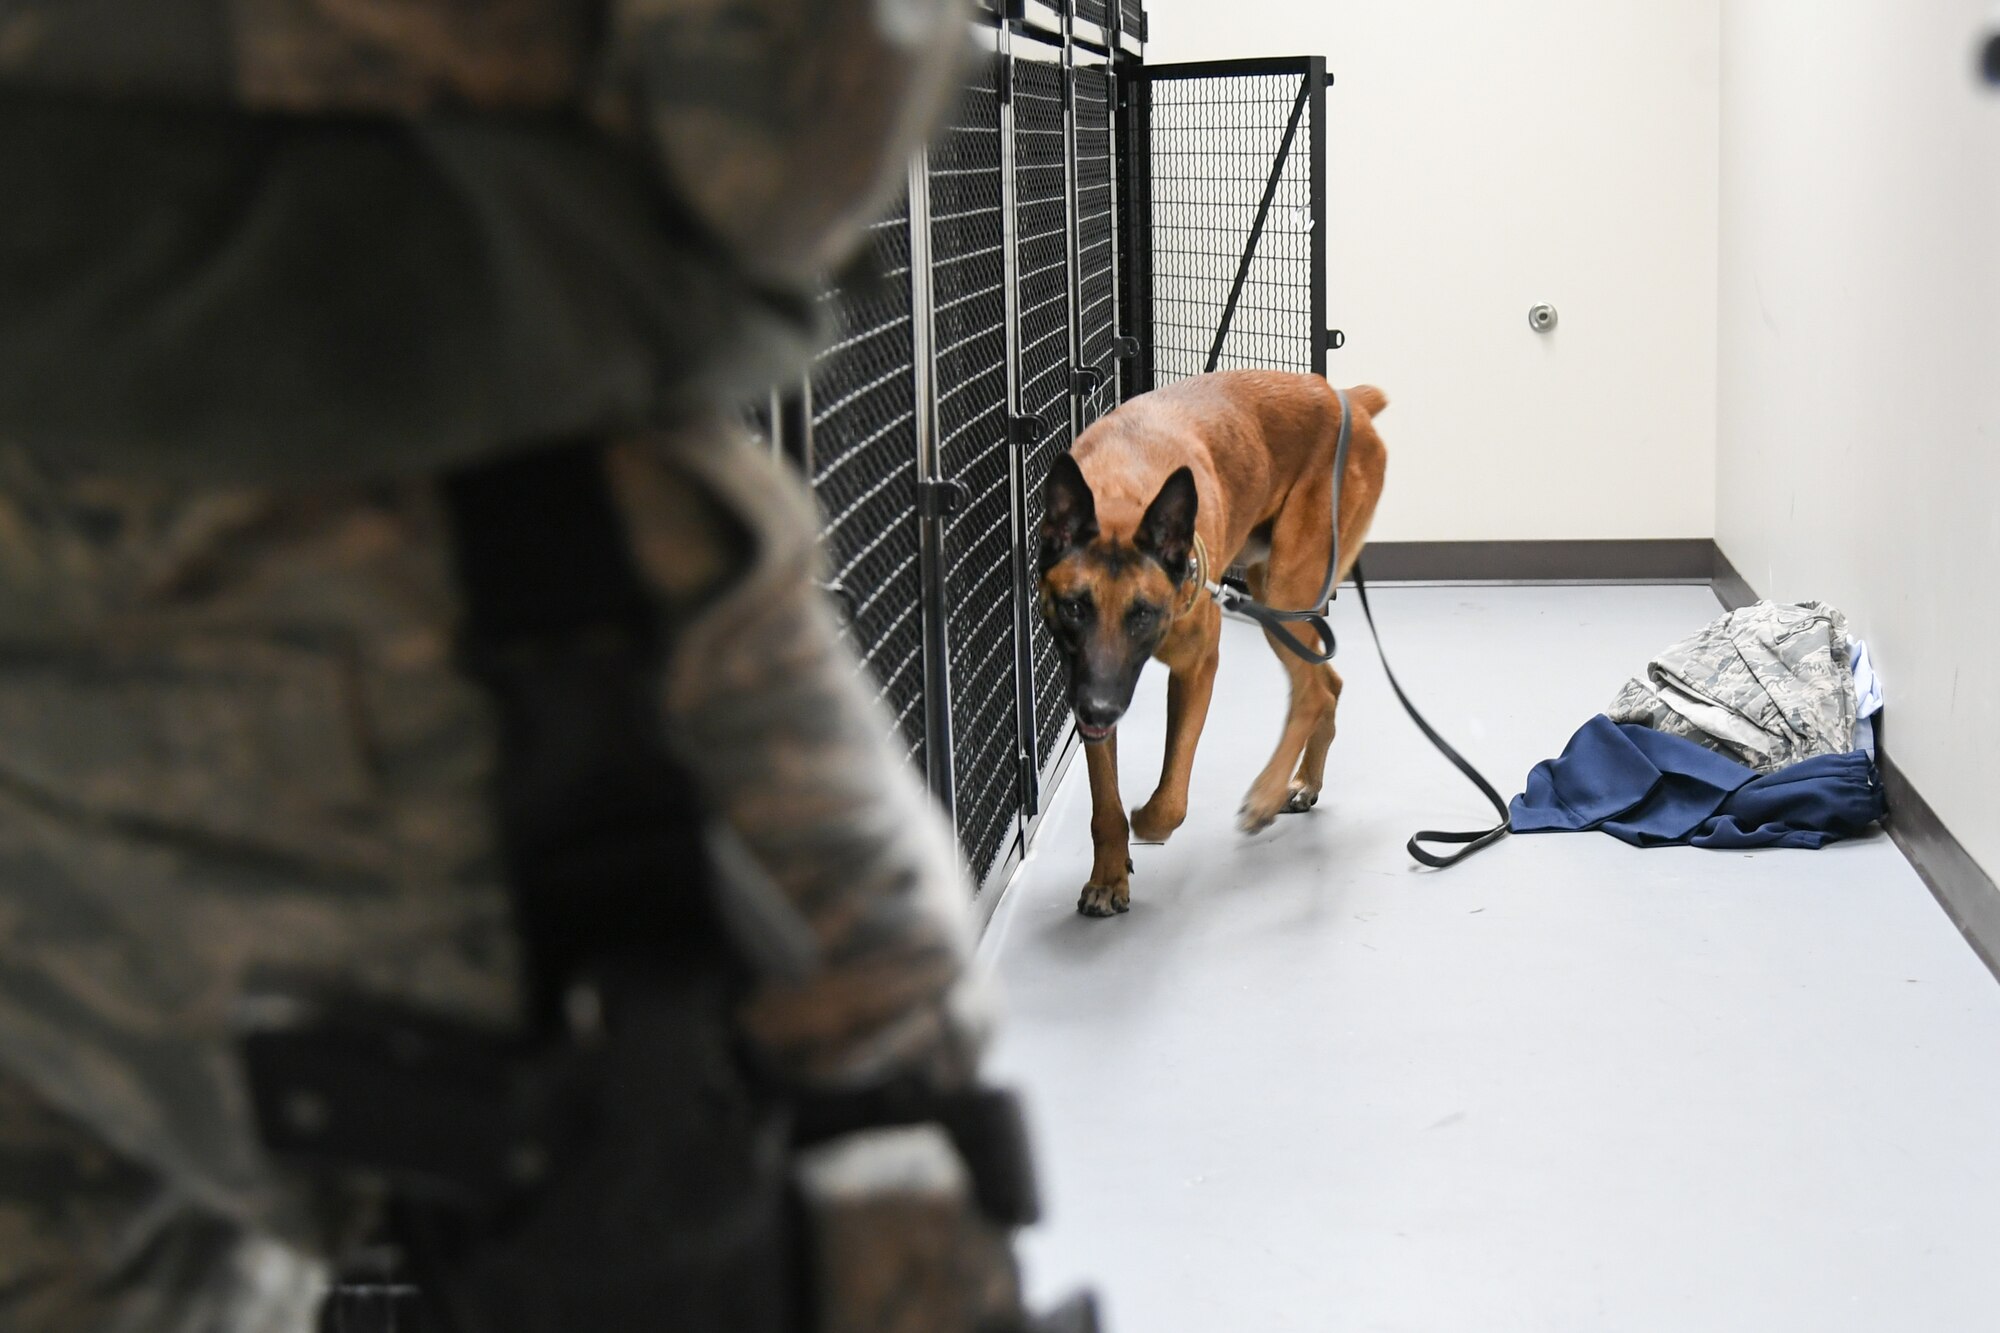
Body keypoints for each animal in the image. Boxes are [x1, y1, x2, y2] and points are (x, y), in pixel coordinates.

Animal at [1032, 370, 1392, 912]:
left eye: (1143, 614)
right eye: (1075, 607)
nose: (1099, 709)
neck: (1124, 492)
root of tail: (1346, 397)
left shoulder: (1196, 667)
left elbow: (1172, 796)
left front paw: (1148, 824)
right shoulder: (1085, 680)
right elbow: (1104, 804)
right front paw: (1109, 876)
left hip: (1286, 588)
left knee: (1311, 692)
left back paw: (1265, 796)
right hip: (1274, 599)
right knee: (1329, 683)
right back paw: (1305, 782)